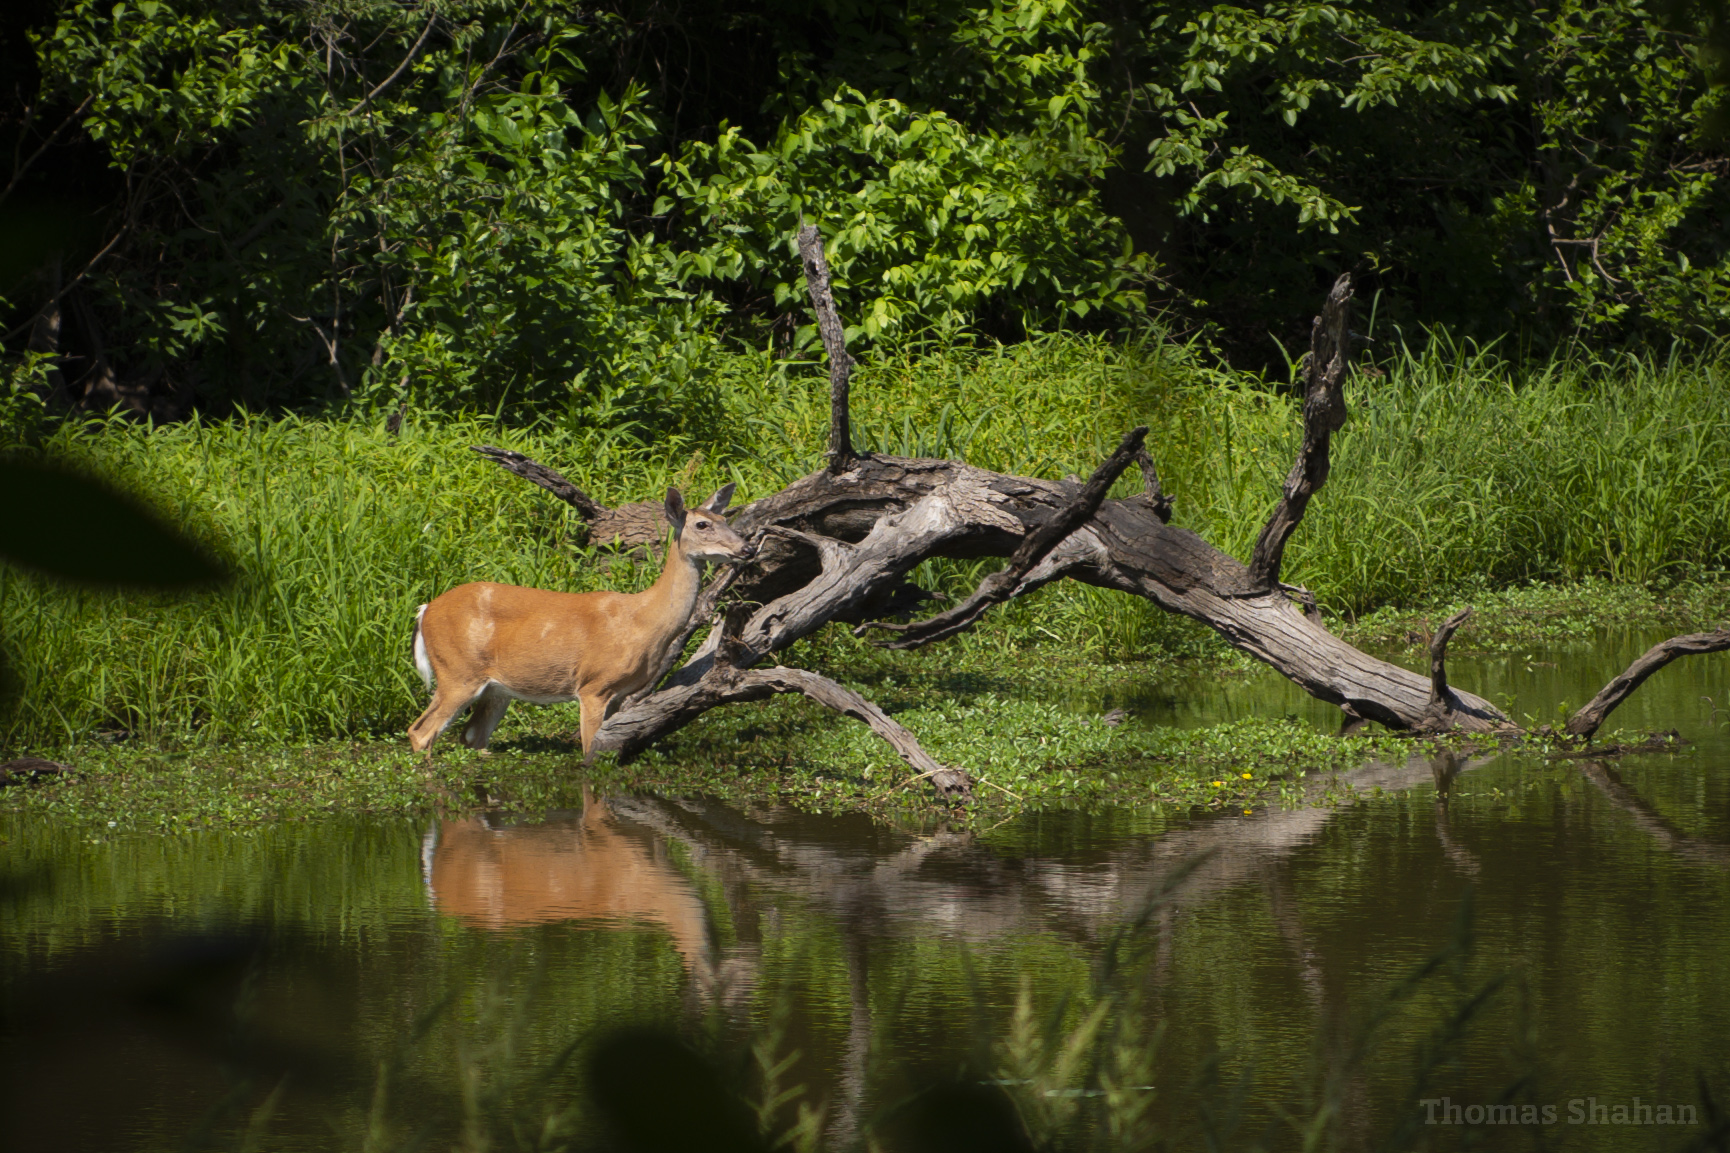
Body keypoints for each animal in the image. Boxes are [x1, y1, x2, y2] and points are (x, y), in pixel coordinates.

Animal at [411, 481, 757, 754]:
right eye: (702, 525)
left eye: (724, 517)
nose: (747, 548)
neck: (644, 620)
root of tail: (425, 610)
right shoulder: (594, 685)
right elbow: (590, 752)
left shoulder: (620, 694)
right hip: (458, 672)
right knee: (420, 732)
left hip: (494, 688)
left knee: (471, 737)